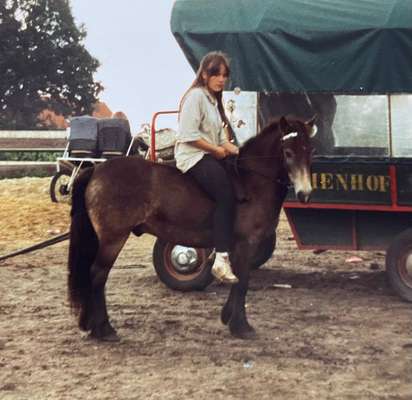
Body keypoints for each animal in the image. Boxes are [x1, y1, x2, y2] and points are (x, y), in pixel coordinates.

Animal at [67, 115, 316, 340]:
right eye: (288, 153)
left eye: (309, 151)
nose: (305, 194)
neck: (251, 181)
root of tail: (96, 171)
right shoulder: (246, 243)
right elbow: (243, 281)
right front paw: (241, 326)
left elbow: (238, 280)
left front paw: (228, 317)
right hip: (113, 238)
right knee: (97, 275)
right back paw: (104, 329)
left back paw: (92, 326)